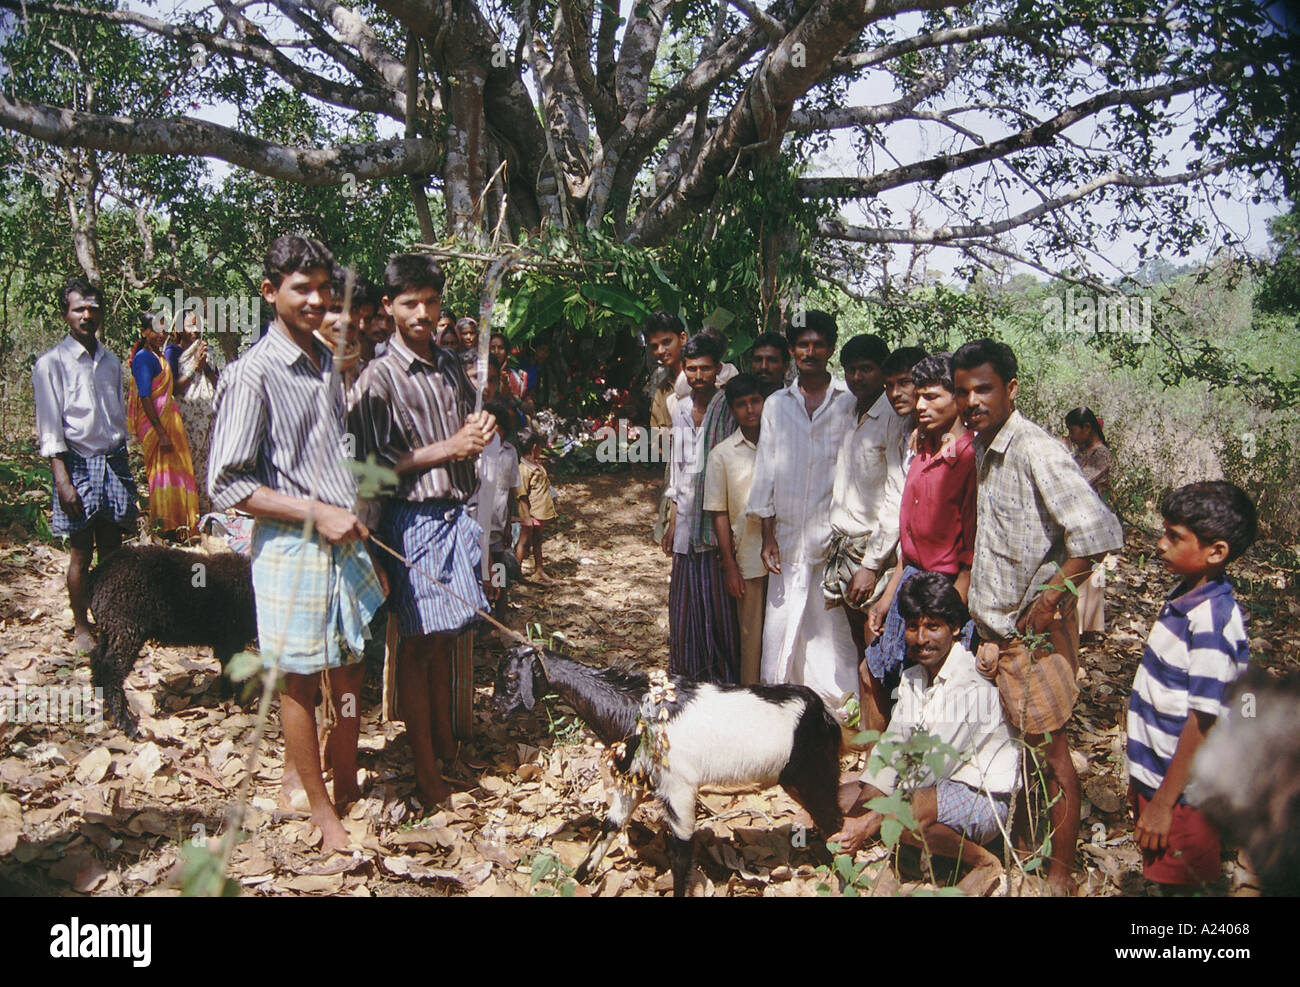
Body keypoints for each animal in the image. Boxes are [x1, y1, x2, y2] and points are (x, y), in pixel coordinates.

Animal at [87, 543, 257, 738]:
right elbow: (234, 670)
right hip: (125, 627)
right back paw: (125, 722)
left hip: (109, 628)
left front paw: (226, 696)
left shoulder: (226, 641)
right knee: (111, 670)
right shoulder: (231, 638)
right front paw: (241, 700)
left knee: (97, 659)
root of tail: (97, 575)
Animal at [488, 644, 842, 899]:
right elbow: (610, 826)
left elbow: (681, 854)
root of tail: (824, 713)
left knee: (835, 820)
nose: (495, 711)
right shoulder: (634, 782)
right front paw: (578, 878)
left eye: (511, 679)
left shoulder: (679, 790)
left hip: (815, 775)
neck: (636, 710)